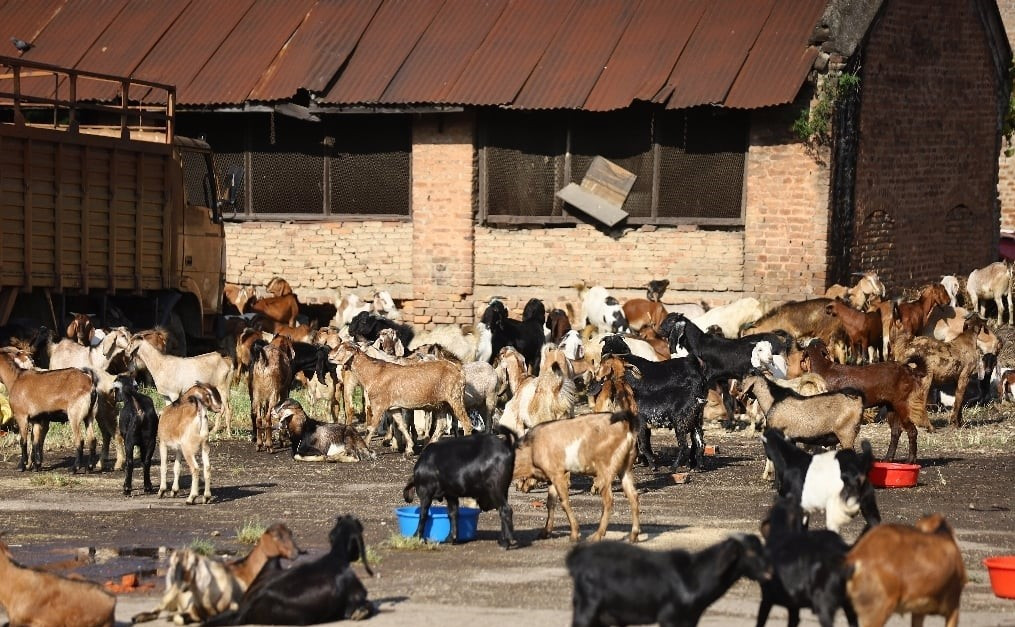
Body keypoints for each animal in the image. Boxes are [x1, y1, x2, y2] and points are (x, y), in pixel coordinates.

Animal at [515, 407, 641, 539]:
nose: (520, 488)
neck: (531, 447)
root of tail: (627, 427)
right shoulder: (551, 478)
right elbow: (550, 502)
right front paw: (545, 532)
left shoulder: (558, 474)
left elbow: (564, 502)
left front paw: (575, 533)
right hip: (625, 469)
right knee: (633, 496)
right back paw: (633, 535)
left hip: (605, 469)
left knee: (608, 500)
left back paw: (597, 535)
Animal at [568, 531, 771, 624]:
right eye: (750, 552)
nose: (769, 572)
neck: (694, 574)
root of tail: (576, 559)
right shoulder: (669, 618)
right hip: (587, 609)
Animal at [799, 336, 929, 464]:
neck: (824, 368)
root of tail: (909, 371)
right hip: (891, 406)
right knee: (896, 432)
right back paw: (887, 459)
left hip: (902, 404)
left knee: (912, 431)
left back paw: (910, 461)